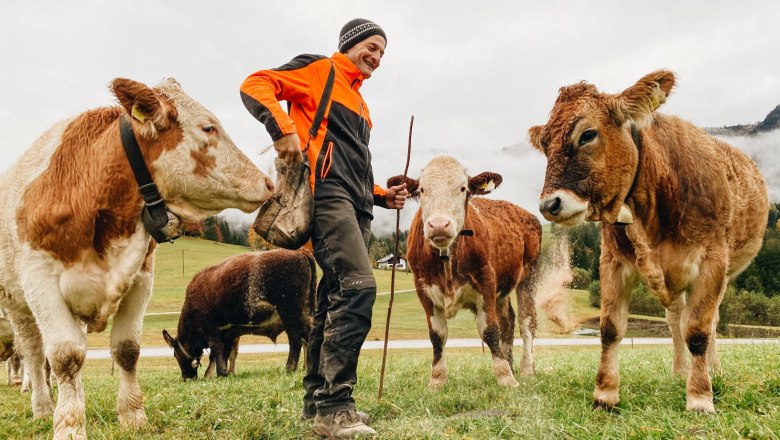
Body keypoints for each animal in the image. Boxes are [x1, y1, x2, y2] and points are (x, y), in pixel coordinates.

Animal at [0, 77, 274, 438]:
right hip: (18, 306)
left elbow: (126, 351)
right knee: (33, 354)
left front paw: (132, 416)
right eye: (208, 127)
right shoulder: (41, 282)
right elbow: (64, 356)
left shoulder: (141, 278)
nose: (267, 182)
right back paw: (44, 409)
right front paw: (69, 425)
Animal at [163, 249, 316, 380]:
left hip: (290, 313)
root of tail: (299, 252)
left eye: (175, 354)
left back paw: (289, 368)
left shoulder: (211, 331)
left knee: (295, 338)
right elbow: (225, 353)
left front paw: (219, 373)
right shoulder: (228, 333)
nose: (185, 378)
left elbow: (217, 351)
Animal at [390, 156, 544, 390]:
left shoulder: (486, 280)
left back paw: (526, 369)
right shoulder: (422, 286)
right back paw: (510, 363)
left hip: (529, 276)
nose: (439, 225)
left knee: (527, 323)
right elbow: (437, 335)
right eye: (422, 189)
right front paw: (436, 380)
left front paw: (505, 378)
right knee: (508, 320)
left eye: (463, 188)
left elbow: (490, 330)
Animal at [528, 69, 772, 412]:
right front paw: (605, 395)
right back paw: (679, 371)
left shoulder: (711, 262)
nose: (550, 205)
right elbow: (610, 329)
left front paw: (700, 397)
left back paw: (713, 372)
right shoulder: (612, 261)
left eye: (587, 135)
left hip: (723, 274)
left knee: (708, 322)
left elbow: (698, 331)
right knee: (674, 319)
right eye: (545, 144)